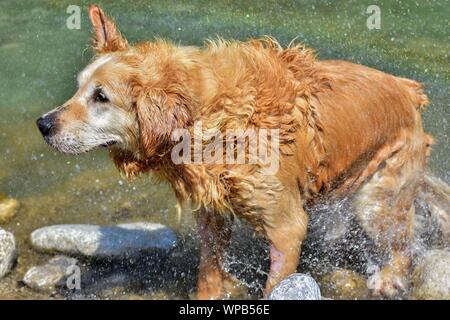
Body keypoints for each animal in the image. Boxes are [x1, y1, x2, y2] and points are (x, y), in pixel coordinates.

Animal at [37, 5, 434, 298]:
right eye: (78, 89)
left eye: (100, 97)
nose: (43, 124)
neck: (207, 117)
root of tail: (409, 89)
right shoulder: (213, 212)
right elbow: (209, 266)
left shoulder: (286, 226)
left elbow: (278, 280)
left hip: (378, 197)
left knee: (403, 241)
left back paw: (390, 278)